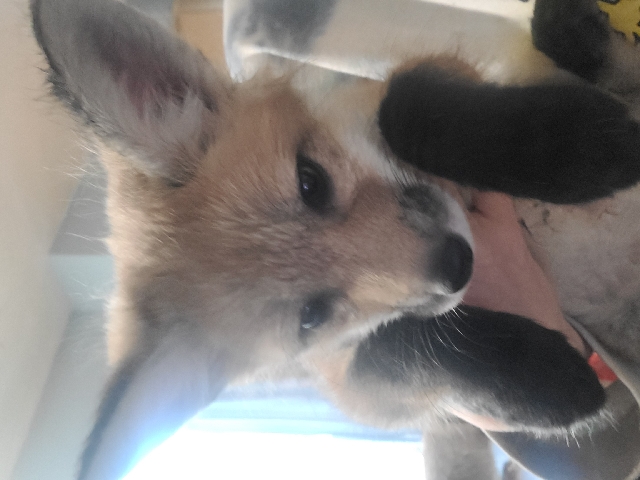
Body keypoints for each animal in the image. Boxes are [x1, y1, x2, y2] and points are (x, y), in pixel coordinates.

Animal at [31, 0, 640, 478]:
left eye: (311, 181)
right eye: (313, 316)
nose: (457, 262)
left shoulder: (405, 82)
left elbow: (411, 107)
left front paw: (582, 148)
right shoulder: (356, 385)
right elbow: (409, 347)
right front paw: (542, 381)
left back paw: (577, 35)